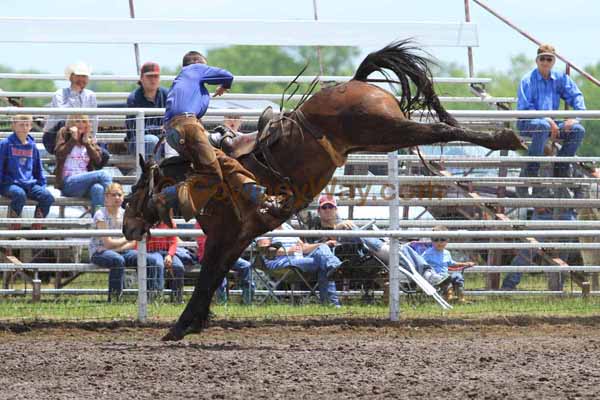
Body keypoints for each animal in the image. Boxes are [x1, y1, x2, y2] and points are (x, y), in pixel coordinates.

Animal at [120, 41, 520, 340]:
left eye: (131, 196)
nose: (127, 228)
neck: (199, 181)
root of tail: (356, 82)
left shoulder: (224, 236)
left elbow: (206, 279)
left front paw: (180, 326)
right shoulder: (237, 238)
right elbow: (213, 278)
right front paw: (194, 322)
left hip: (385, 128)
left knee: (441, 130)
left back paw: (505, 137)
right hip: (380, 137)